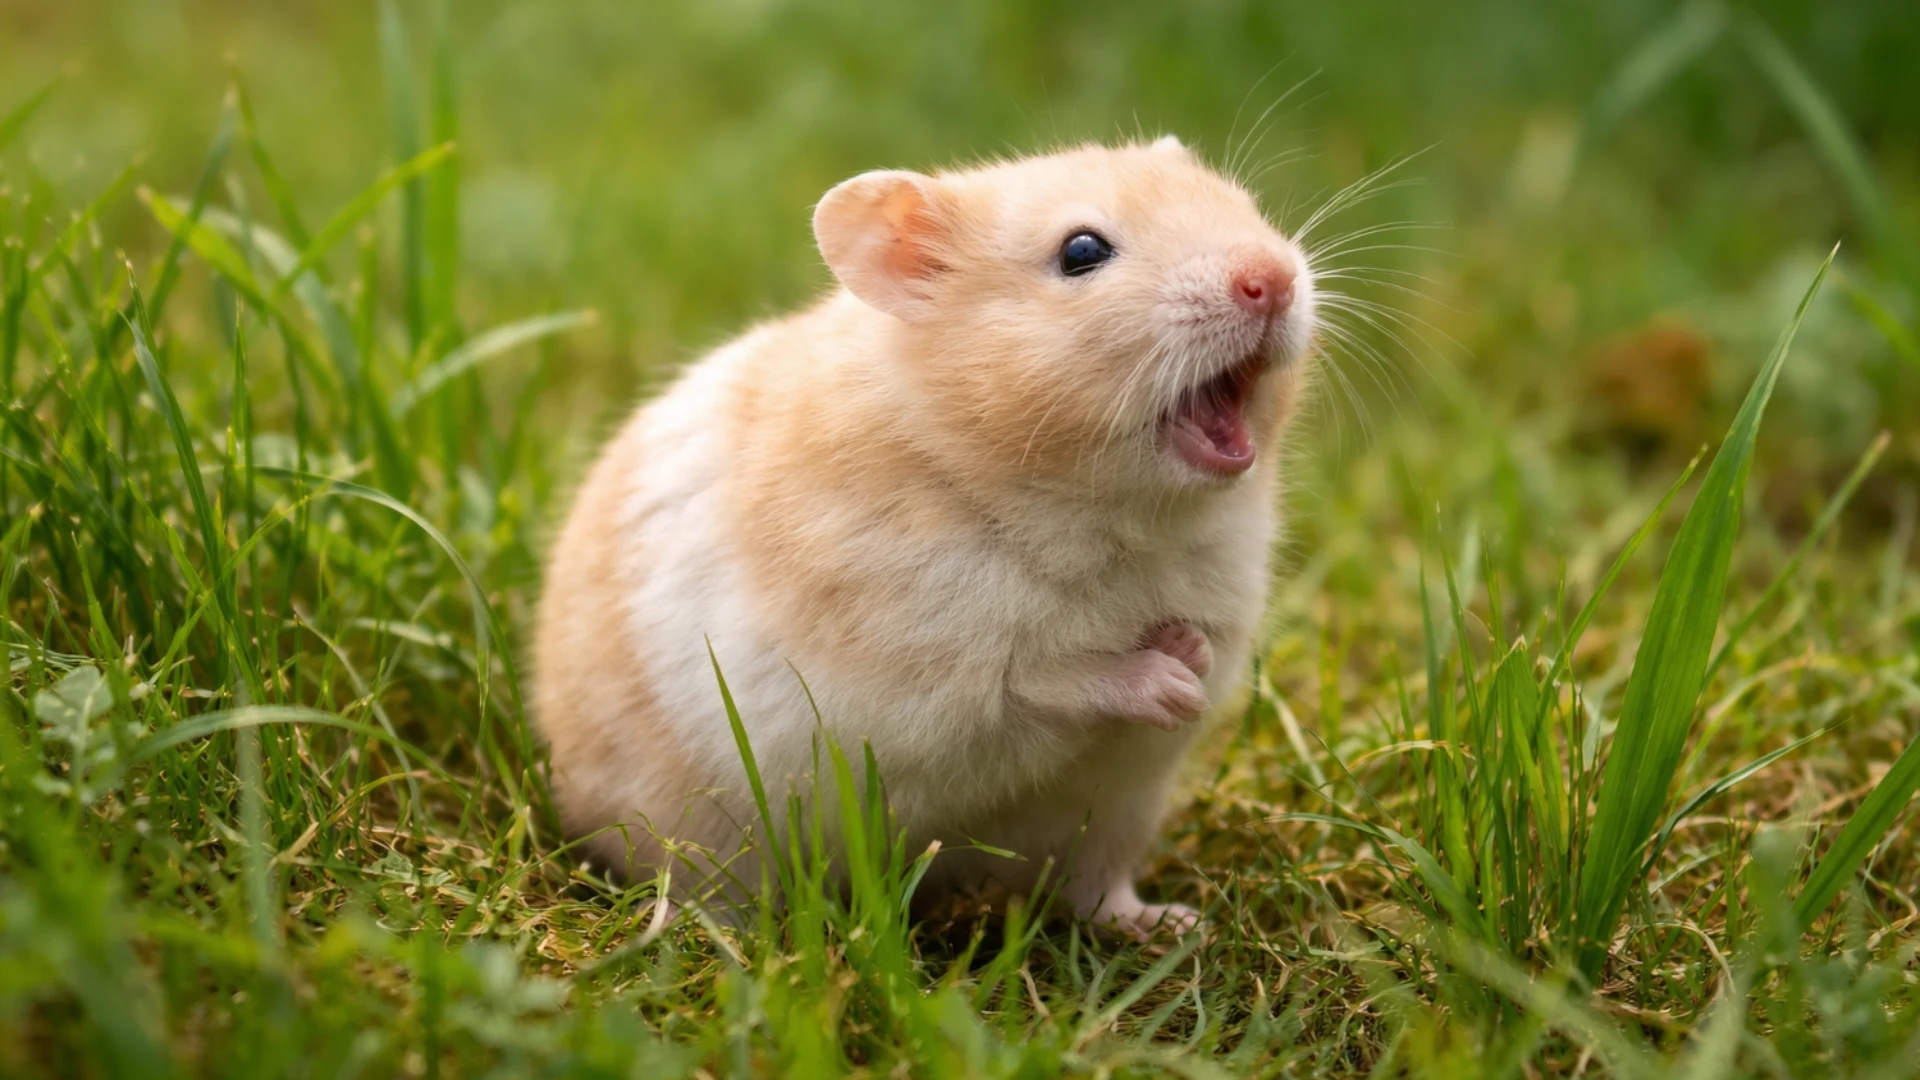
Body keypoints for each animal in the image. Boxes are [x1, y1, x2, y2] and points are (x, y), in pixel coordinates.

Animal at [533, 136, 1316, 937]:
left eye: (1244, 203)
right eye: (1082, 252)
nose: (1274, 280)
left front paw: (1190, 656)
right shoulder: (931, 689)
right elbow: (1049, 681)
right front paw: (1171, 680)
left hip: (1113, 817)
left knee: (1094, 888)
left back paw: (1174, 926)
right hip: (703, 838)